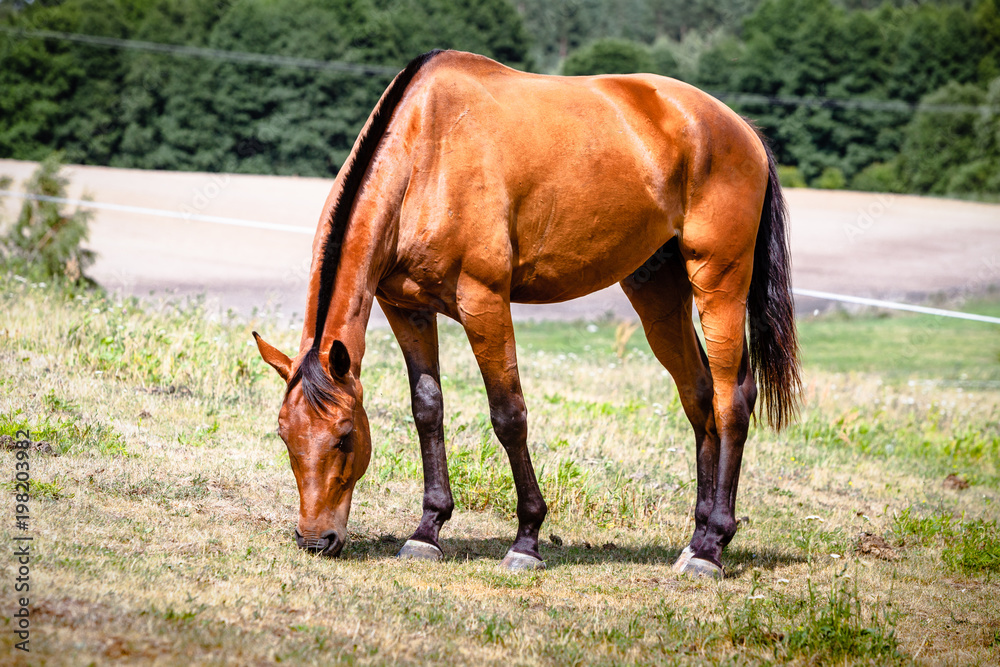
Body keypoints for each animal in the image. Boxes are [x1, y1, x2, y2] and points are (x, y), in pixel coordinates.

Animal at [253, 49, 800, 577]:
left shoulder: (484, 303)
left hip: (719, 281)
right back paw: (697, 539)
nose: (315, 540)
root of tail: (740, 128)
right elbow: (427, 409)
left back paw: (711, 550)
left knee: (731, 400)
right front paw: (427, 531)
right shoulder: (407, 308)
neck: (426, 154)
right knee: (699, 396)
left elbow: (508, 415)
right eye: (285, 436)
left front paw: (526, 541)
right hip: (658, 292)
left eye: (345, 437)